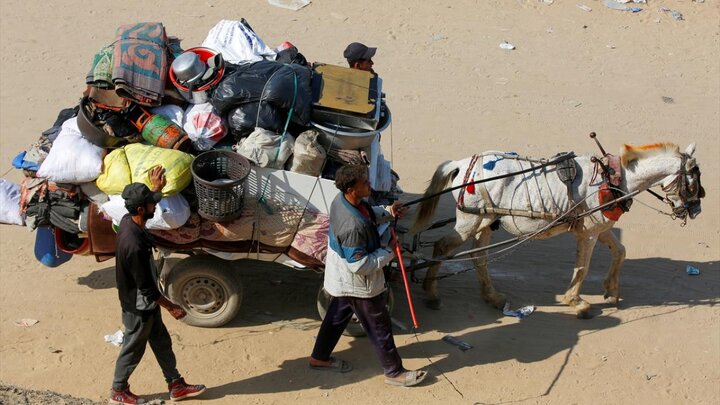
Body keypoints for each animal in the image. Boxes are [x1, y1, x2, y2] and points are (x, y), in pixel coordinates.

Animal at [410, 144, 704, 318]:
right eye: (693, 181)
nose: (696, 210)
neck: (613, 178)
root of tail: (462, 163)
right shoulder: (589, 232)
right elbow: (583, 268)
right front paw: (576, 301)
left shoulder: (600, 227)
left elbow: (620, 251)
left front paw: (610, 291)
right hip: (469, 220)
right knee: (442, 247)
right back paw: (432, 294)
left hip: (485, 221)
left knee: (478, 257)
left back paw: (491, 297)